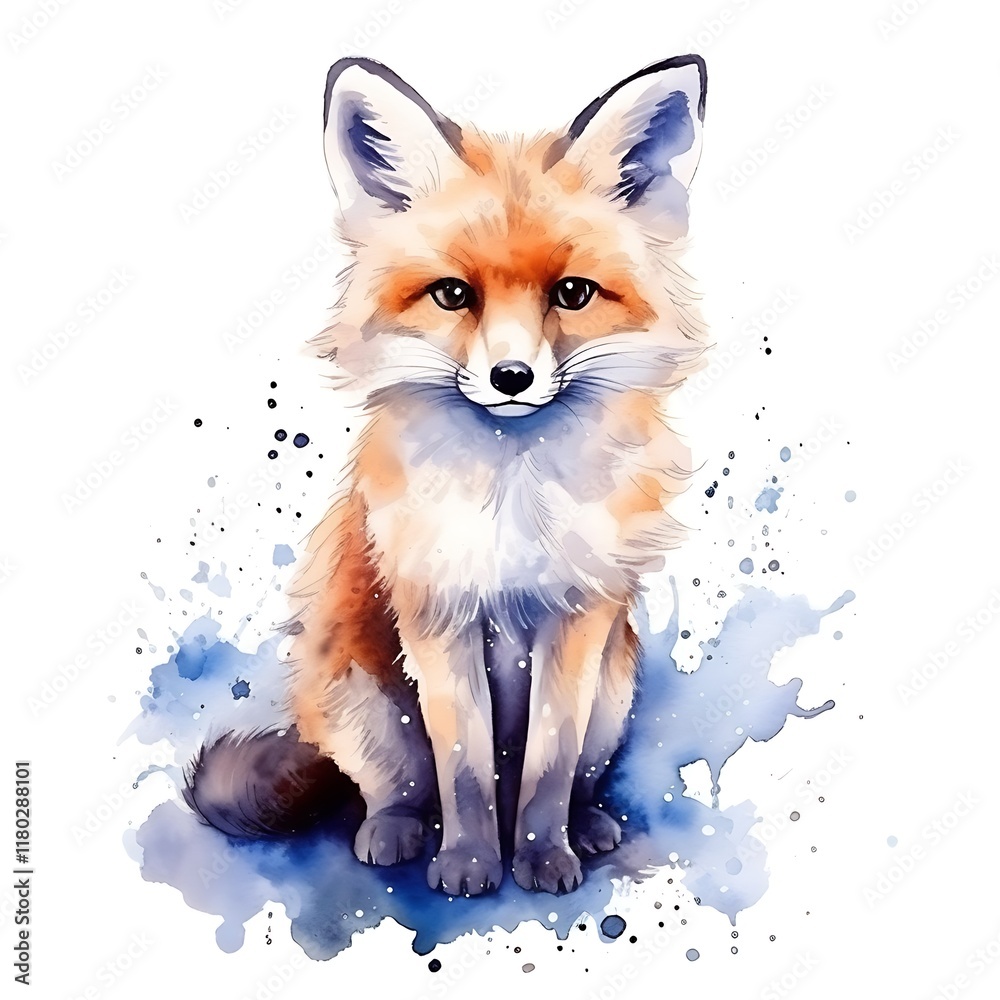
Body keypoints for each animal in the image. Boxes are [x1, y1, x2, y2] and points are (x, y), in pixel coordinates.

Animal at [184, 54, 709, 897]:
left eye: (572, 293)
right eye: (453, 295)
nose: (511, 377)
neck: (512, 500)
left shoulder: (578, 616)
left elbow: (548, 767)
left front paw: (541, 855)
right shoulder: (437, 616)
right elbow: (463, 771)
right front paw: (468, 863)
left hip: (614, 689)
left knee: (570, 775)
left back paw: (587, 825)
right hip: (365, 706)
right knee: (402, 788)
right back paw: (394, 832)